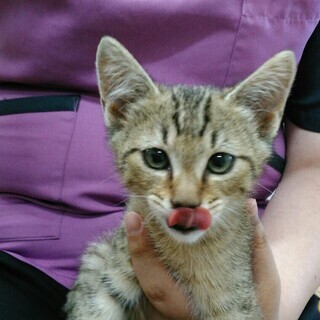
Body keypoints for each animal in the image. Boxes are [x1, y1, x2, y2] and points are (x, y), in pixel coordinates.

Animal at [63, 36, 296, 318]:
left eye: (220, 162)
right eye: (156, 157)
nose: (186, 204)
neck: (185, 253)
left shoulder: (237, 303)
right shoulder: (108, 267)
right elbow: (92, 304)